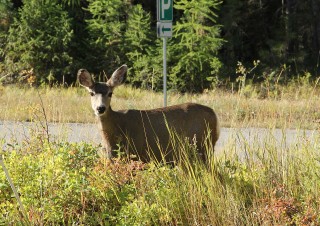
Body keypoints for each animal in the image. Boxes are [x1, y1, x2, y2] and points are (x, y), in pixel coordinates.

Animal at [77, 64, 219, 163]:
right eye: (91, 93)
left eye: (110, 93)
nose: (100, 108)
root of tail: (214, 115)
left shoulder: (136, 154)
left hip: (202, 146)